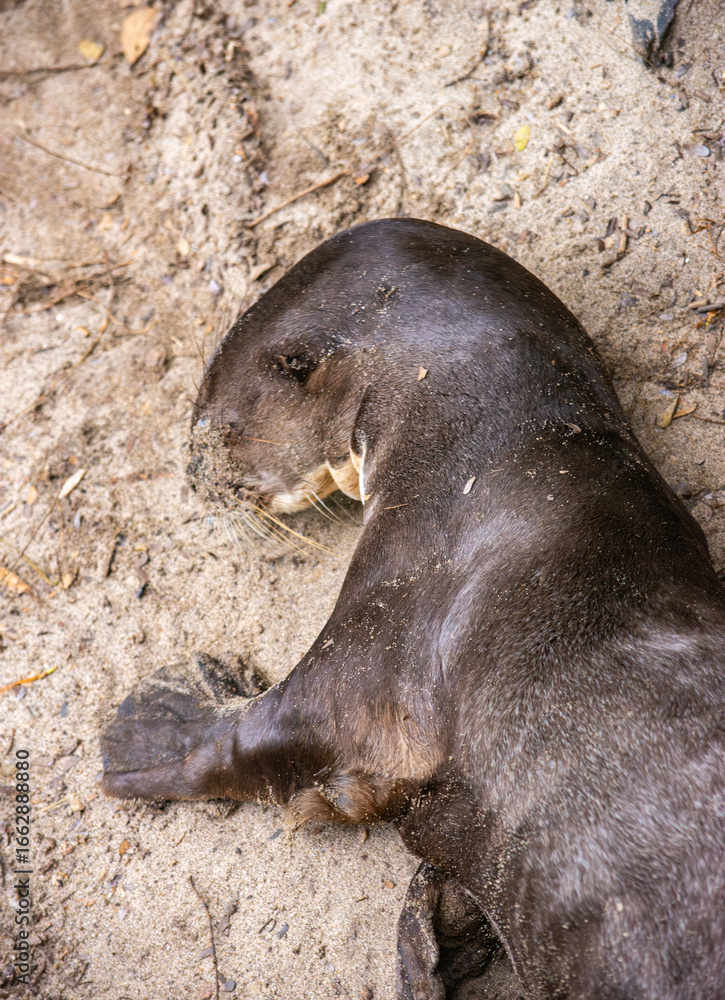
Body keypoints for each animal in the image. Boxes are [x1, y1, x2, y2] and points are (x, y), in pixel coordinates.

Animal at [102, 219, 725, 999]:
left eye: (214, 423)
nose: (189, 475)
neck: (481, 459)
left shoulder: (389, 630)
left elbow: (258, 736)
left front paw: (149, 718)